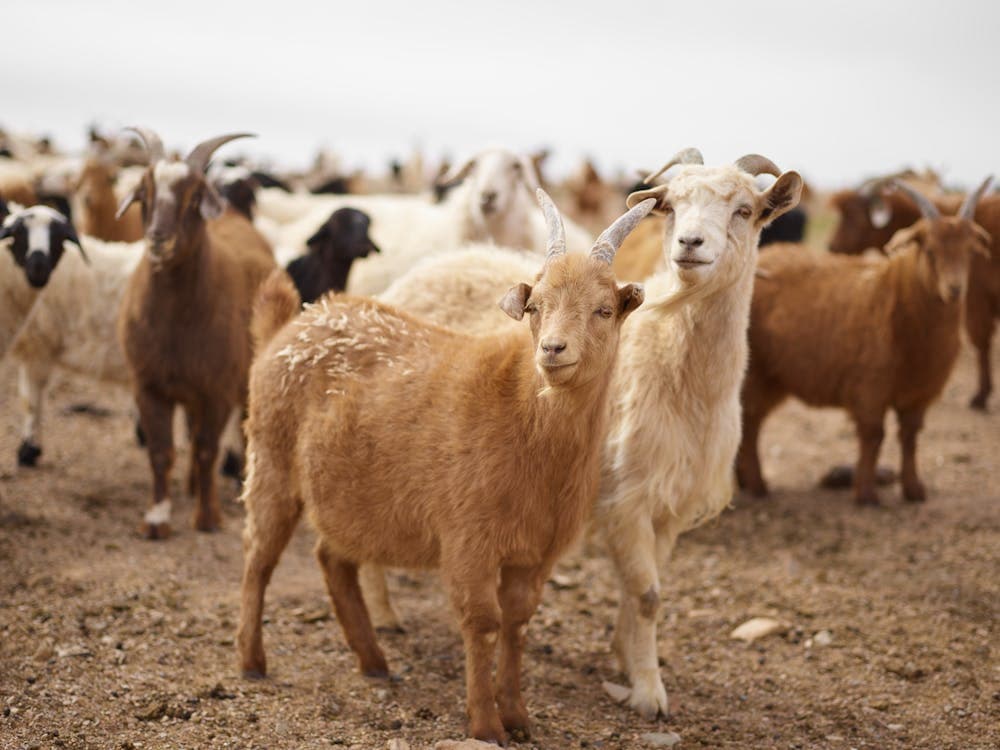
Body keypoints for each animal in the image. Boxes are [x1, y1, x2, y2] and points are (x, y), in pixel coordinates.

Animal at [117, 128, 276, 539]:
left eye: (193, 198)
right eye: (144, 192)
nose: (158, 237)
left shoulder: (216, 389)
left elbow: (207, 449)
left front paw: (207, 517)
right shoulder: (148, 385)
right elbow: (161, 451)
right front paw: (157, 519)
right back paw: (189, 486)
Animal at [237, 191, 659, 744]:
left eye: (604, 310)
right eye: (535, 307)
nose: (553, 350)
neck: (522, 411)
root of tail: (286, 327)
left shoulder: (536, 553)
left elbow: (518, 622)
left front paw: (518, 716)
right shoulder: (468, 539)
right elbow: (482, 622)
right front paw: (485, 724)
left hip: (347, 494)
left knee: (333, 558)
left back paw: (374, 661)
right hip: (270, 461)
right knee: (259, 559)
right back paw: (251, 661)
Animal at [737, 177, 993, 505]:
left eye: (970, 251)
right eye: (929, 250)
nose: (954, 289)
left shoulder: (920, 392)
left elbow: (910, 436)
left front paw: (914, 490)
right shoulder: (871, 386)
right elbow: (873, 435)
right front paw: (867, 493)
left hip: (774, 378)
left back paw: (745, 481)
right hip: (755, 374)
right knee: (750, 422)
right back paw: (757, 485)